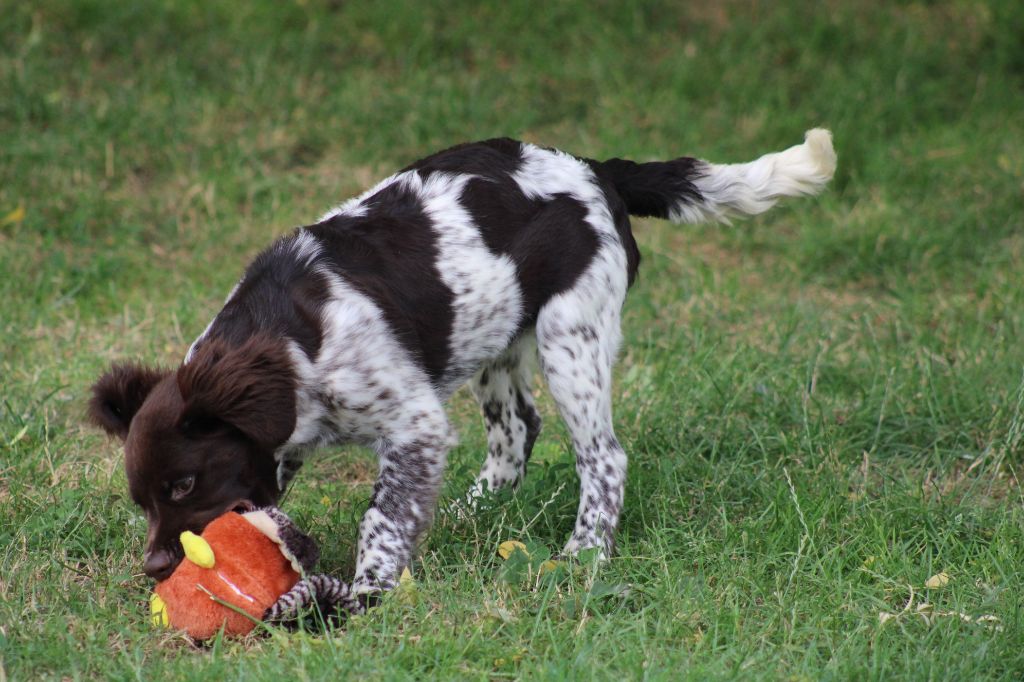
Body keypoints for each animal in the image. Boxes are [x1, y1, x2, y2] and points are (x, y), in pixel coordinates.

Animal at [88, 130, 835, 598]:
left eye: (184, 485)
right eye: (141, 499)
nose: (157, 568)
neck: (289, 337)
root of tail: (596, 168)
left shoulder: (411, 423)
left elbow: (383, 518)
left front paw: (366, 593)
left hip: (571, 334)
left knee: (604, 458)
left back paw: (584, 555)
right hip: (492, 337)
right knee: (517, 432)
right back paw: (474, 514)